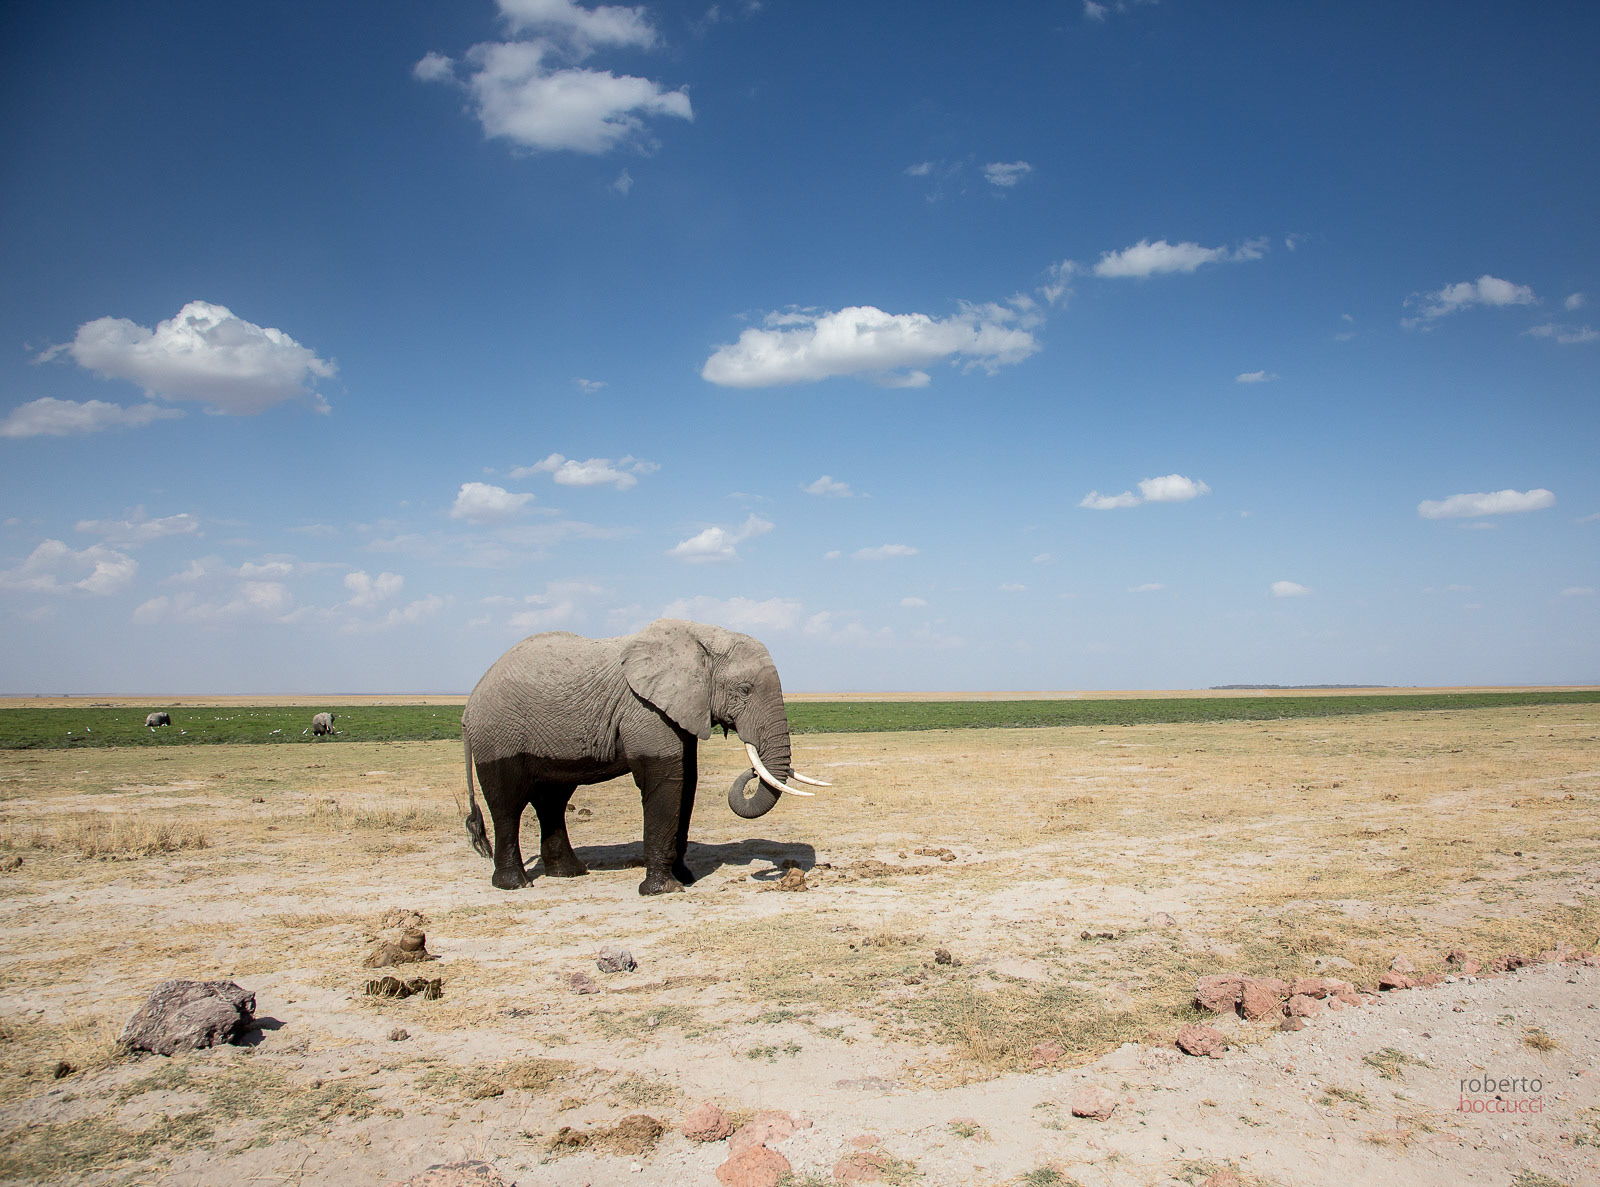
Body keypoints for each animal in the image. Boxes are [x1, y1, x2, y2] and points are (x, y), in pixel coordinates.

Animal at [462, 618, 831, 896]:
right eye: (744, 690)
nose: (753, 771)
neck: (701, 638)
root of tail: (470, 702)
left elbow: (688, 780)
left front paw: (685, 878)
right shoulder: (644, 709)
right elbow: (666, 779)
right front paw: (664, 890)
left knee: (551, 800)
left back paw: (570, 873)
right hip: (498, 735)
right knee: (507, 803)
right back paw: (515, 884)